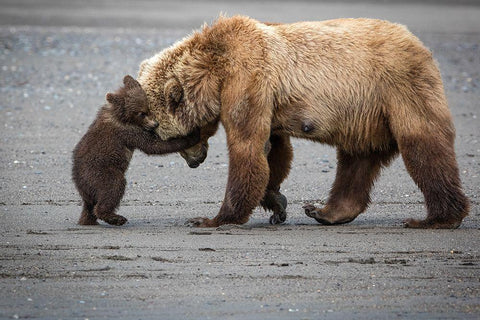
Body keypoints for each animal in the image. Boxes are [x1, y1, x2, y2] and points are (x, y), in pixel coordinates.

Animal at [138, 16, 468, 229]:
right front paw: (277, 202)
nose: (195, 162)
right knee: (357, 160)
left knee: (423, 145)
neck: (214, 69)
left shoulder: (248, 78)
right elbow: (274, 150)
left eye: (163, 133)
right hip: (365, 115)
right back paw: (325, 211)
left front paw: (213, 218)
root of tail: (419, 43)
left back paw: (437, 218)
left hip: (398, 87)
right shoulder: (266, 98)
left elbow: (247, 147)